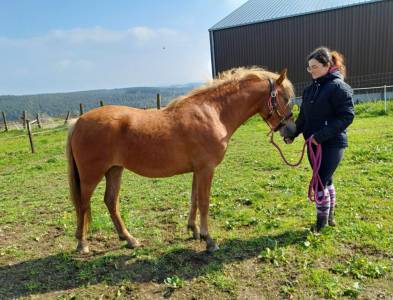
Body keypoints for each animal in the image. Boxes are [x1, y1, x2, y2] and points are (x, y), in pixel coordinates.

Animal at [67, 67, 292, 253]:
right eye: (284, 98)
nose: (290, 131)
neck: (213, 113)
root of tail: (78, 121)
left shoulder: (197, 170)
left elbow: (194, 199)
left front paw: (193, 230)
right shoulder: (206, 169)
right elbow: (204, 201)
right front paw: (209, 240)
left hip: (114, 169)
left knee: (111, 201)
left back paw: (129, 239)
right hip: (91, 176)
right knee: (83, 204)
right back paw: (83, 243)